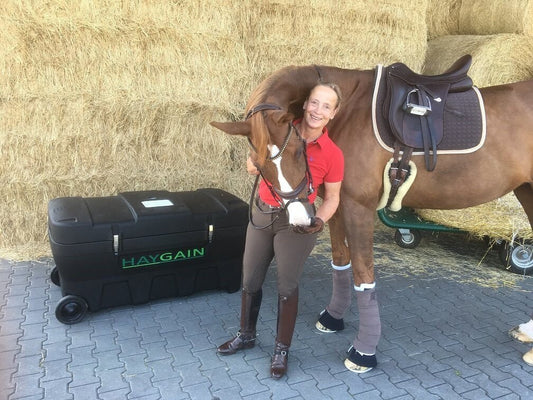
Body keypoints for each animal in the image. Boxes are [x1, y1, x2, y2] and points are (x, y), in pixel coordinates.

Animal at [211, 62, 532, 372]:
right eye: (259, 164)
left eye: (298, 149)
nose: (301, 220)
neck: (349, 110)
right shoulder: (338, 204)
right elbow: (341, 261)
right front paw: (333, 317)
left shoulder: (358, 207)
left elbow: (364, 276)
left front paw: (364, 351)